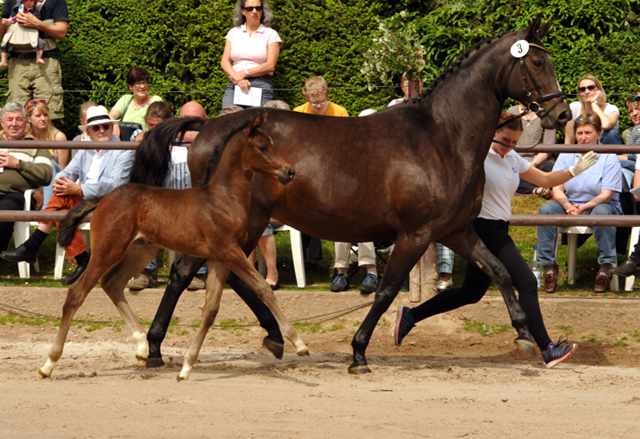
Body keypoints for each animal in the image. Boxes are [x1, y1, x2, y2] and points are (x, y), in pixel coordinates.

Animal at [41, 113, 308, 382]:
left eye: (272, 144)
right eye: (263, 147)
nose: (289, 171)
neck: (223, 198)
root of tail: (104, 198)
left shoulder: (219, 258)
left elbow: (211, 309)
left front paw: (187, 367)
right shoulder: (230, 251)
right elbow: (263, 288)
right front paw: (299, 344)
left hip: (140, 251)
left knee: (112, 283)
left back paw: (142, 348)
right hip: (108, 250)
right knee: (77, 293)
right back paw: (49, 363)